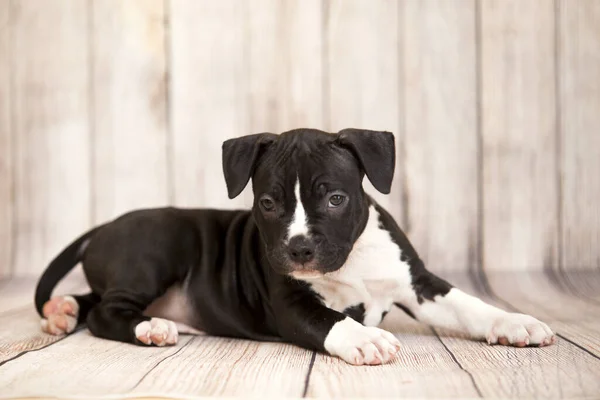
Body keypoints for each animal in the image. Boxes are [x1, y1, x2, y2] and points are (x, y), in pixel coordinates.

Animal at [35, 129, 556, 366]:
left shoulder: (418, 282)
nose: (300, 248)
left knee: (92, 300)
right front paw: (365, 338)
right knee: (107, 311)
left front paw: (515, 322)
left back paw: (62, 311)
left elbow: (468, 304)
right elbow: (332, 321)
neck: (351, 261)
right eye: (267, 203)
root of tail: (104, 226)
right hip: (158, 249)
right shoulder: (290, 304)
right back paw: (150, 328)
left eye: (336, 198)